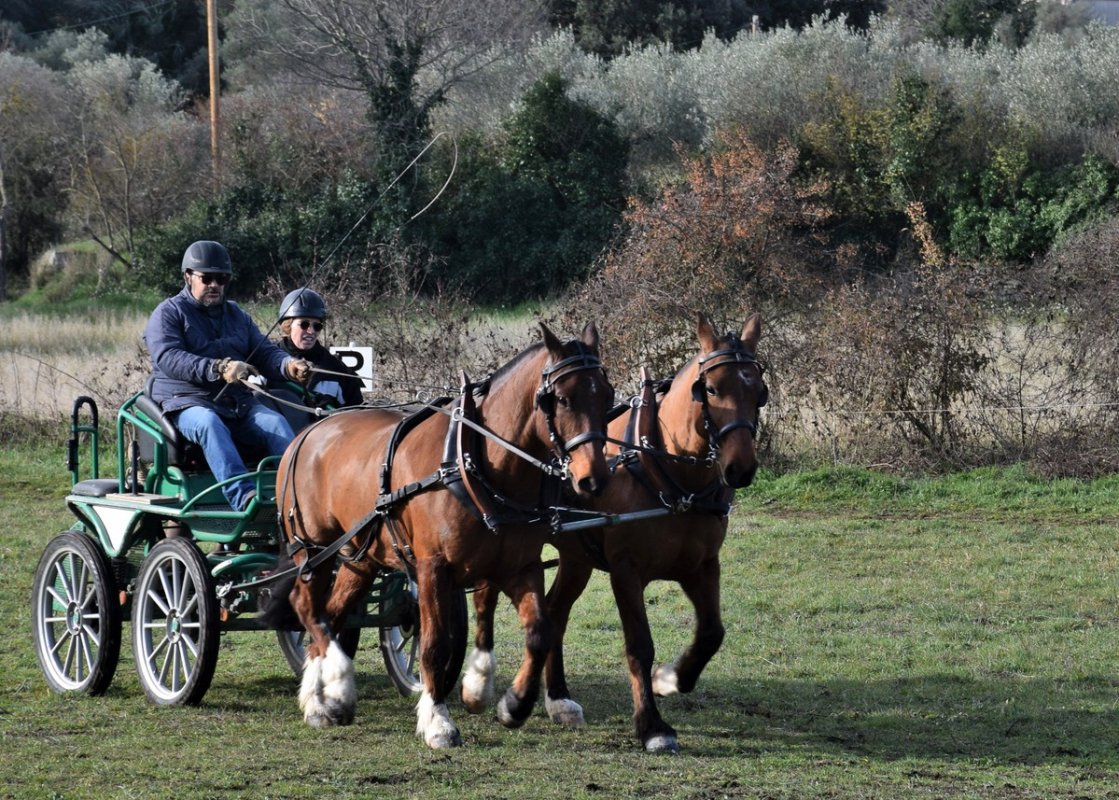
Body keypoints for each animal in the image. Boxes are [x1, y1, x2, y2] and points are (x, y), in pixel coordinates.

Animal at [268, 323, 614, 748]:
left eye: (608, 395)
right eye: (562, 399)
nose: (593, 479)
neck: (475, 463)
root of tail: (310, 430)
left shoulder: (520, 567)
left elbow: (539, 631)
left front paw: (514, 704)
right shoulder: (432, 568)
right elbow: (434, 645)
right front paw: (437, 721)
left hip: (359, 556)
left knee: (329, 614)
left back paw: (325, 697)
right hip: (312, 548)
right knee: (306, 607)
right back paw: (334, 685)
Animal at [461, 314, 766, 752]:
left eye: (759, 392)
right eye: (711, 389)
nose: (740, 468)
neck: (669, 471)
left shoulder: (703, 565)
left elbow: (712, 633)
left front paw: (670, 679)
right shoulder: (627, 571)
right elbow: (639, 645)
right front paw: (652, 726)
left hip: (575, 557)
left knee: (554, 612)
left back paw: (559, 700)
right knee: (486, 598)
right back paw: (479, 685)